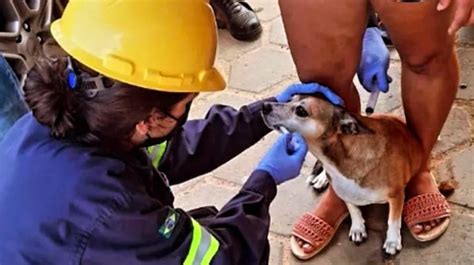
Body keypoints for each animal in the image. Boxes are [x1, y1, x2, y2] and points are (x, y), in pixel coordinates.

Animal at [262, 94, 422, 254]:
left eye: (301, 111)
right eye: (290, 99)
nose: (264, 106)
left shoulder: (397, 195)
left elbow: (393, 220)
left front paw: (392, 241)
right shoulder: (343, 190)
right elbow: (352, 208)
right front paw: (358, 227)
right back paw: (322, 178)